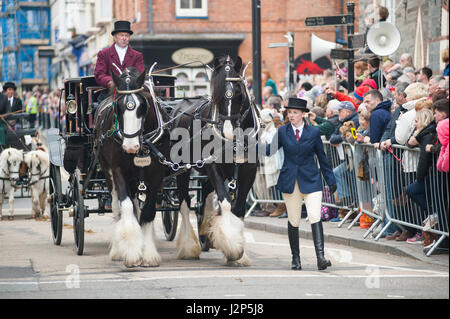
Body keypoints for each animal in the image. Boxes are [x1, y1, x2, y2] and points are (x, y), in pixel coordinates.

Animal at [94, 65, 171, 268]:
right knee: (117, 206)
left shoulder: (156, 174)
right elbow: (126, 206)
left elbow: (148, 211)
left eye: (142, 106)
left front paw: (149, 254)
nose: (130, 146)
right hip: (108, 173)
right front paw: (130, 252)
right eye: (118, 107)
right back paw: (117, 250)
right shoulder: (118, 171)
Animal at [169, 56, 260, 266]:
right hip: (183, 169)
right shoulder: (213, 166)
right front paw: (233, 248)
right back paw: (189, 246)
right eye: (216, 95)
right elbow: (225, 202)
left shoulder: (249, 170)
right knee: (184, 202)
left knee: (203, 199)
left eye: (238, 92)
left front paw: (238, 251)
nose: (227, 132)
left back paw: (205, 234)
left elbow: (238, 208)